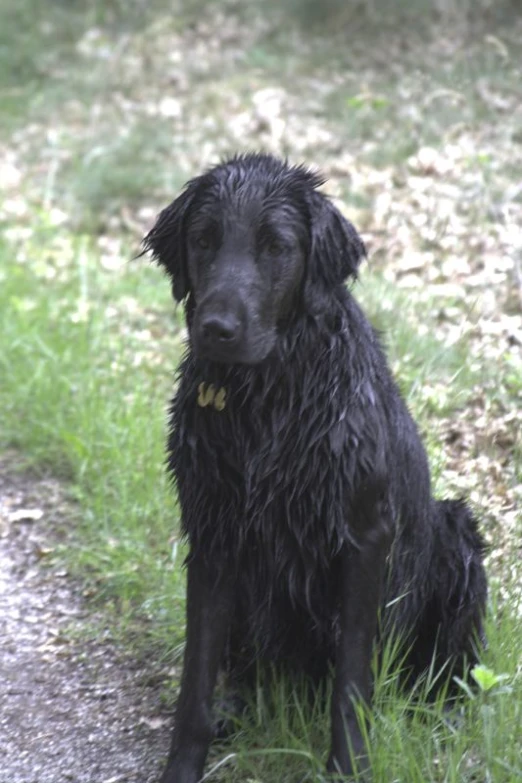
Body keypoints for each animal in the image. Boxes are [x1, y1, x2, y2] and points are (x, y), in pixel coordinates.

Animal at [141, 155, 484, 783]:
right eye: (204, 240)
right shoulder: (212, 535)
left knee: (449, 674)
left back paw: (444, 718)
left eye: (276, 246)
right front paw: (183, 766)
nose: (217, 329)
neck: (268, 399)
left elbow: (350, 687)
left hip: (457, 533)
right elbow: (194, 686)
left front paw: (349, 768)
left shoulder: (364, 536)